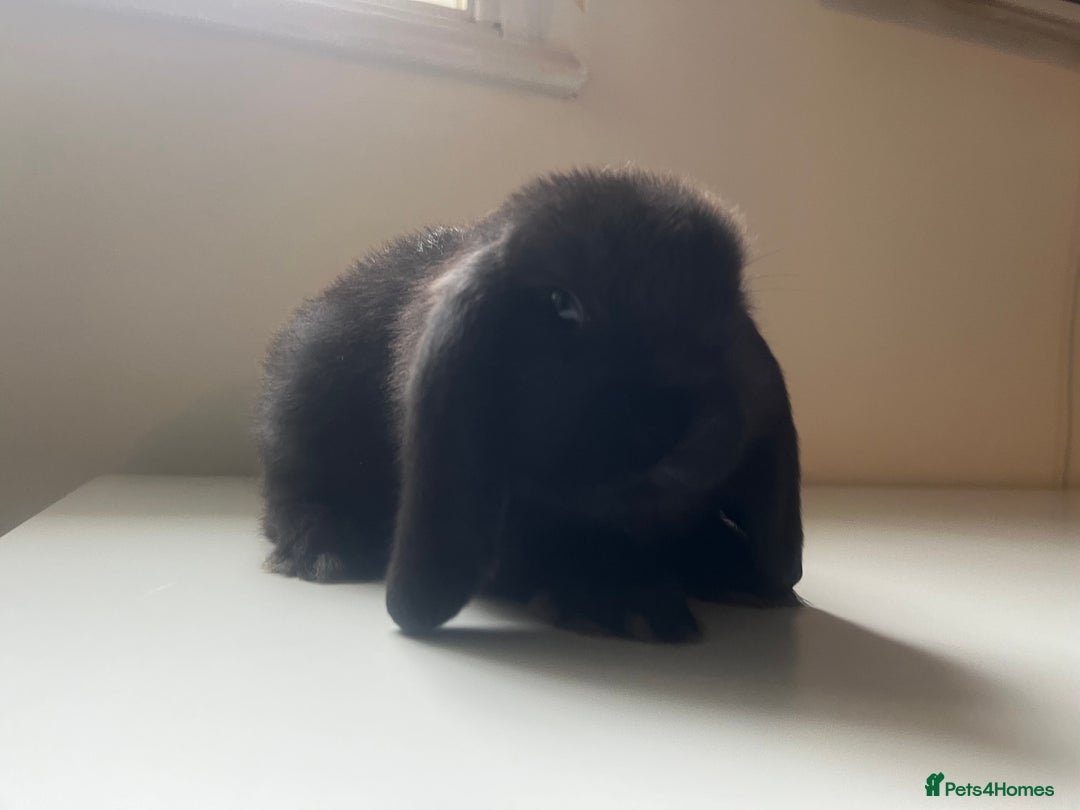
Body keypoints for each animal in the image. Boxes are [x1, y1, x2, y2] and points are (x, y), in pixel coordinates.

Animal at [256, 167, 803, 642]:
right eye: (561, 304)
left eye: (729, 309)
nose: (680, 423)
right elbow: (548, 543)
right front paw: (624, 600)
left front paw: (739, 572)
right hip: (301, 408)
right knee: (289, 496)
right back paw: (325, 550)